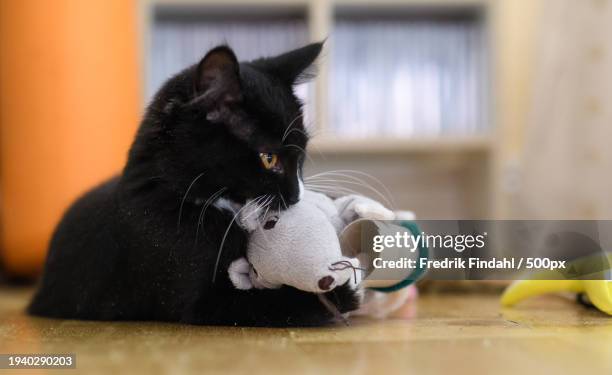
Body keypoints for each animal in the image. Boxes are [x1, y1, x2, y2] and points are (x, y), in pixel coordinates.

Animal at [28, 43, 360, 326]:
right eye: (269, 158)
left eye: (301, 154)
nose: (295, 196)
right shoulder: (202, 299)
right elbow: (273, 302)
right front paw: (341, 295)